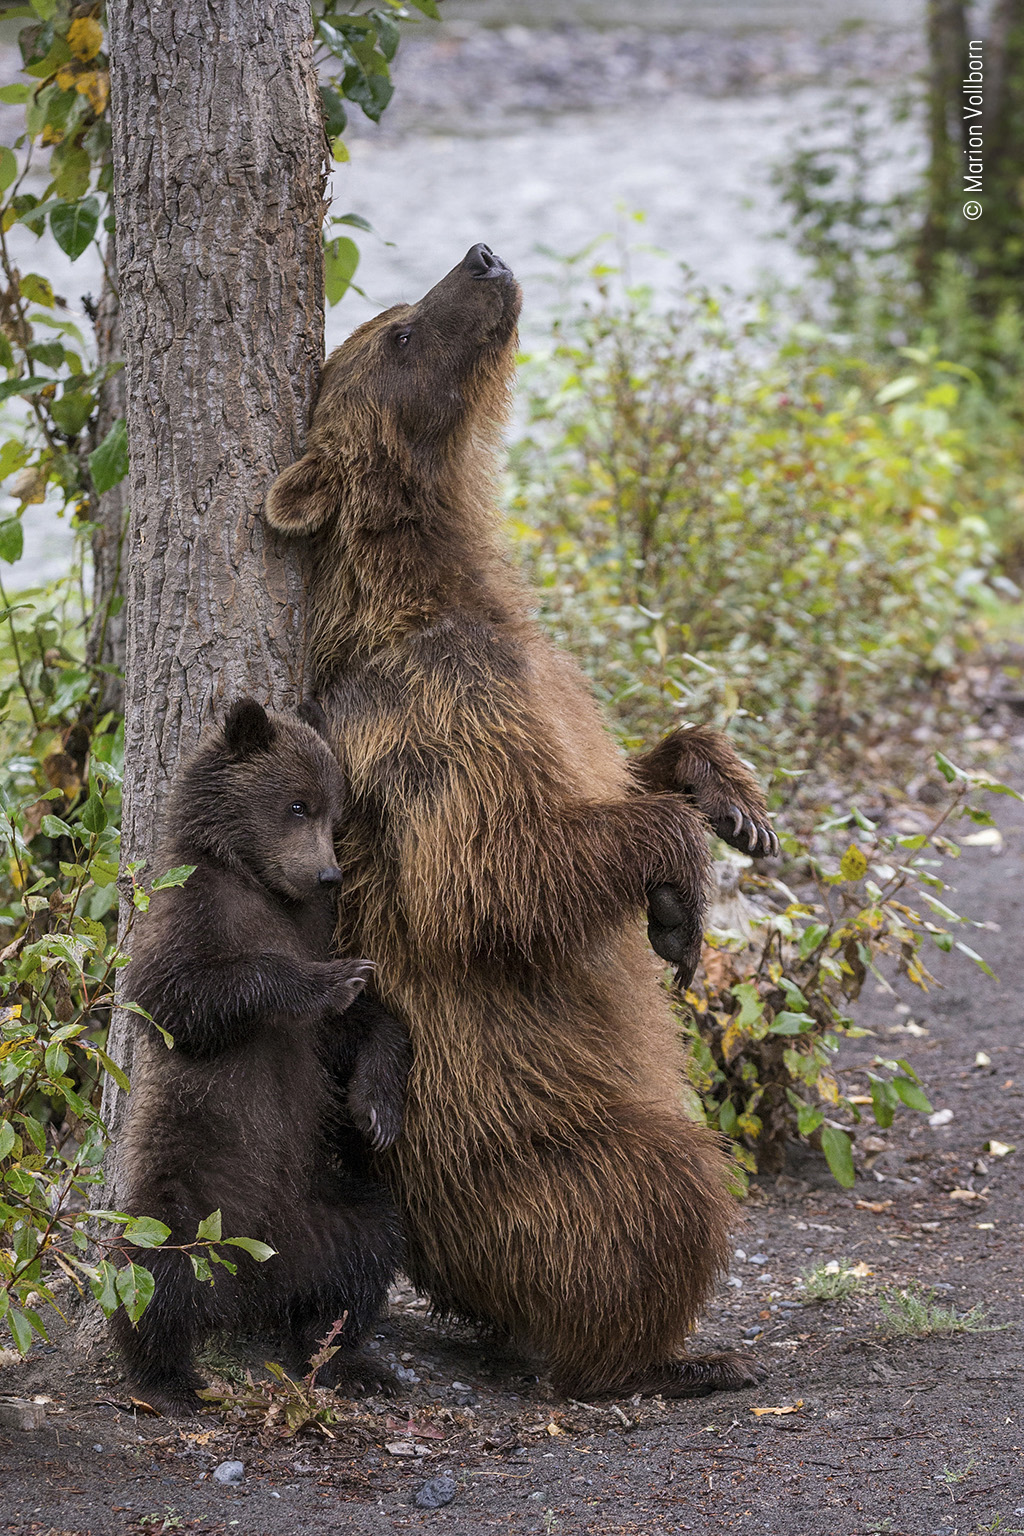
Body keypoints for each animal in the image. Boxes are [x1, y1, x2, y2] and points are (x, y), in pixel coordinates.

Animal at [264, 242, 776, 1406]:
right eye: (402, 332)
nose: (483, 257)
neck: (443, 588)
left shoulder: (547, 681)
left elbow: (625, 764)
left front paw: (731, 802)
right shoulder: (433, 721)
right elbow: (494, 874)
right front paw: (678, 898)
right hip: (523, 1148)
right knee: (664, 1187)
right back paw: (669, 1356)